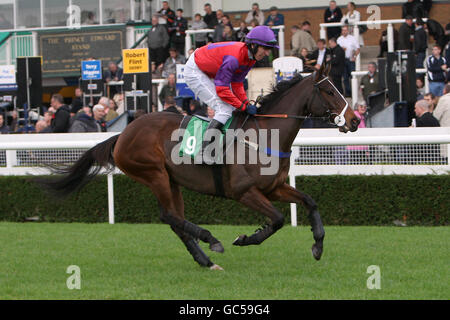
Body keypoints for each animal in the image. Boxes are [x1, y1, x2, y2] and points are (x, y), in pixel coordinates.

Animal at [40, 63, 360, 270]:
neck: (265, 135)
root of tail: (123, 134)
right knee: (168, 216)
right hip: (154, 173)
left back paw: (205, 260)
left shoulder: (275, 187)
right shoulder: (244, 192)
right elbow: (279, 219)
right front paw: (246, 238)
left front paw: (318, 245)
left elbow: (310, 202)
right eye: (329, 92)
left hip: (171, 181)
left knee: (176, 221)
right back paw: (211, 241)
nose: (355, 120)